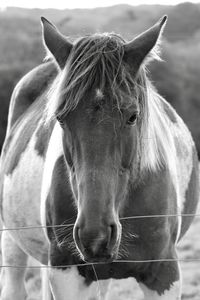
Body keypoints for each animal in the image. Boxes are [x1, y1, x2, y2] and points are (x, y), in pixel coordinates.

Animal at [0, 14, 199, 300]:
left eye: (132, 116)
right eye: (60, 118)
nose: (95, 237)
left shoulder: (163, 274)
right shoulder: (68, 273)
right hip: (13, 242)